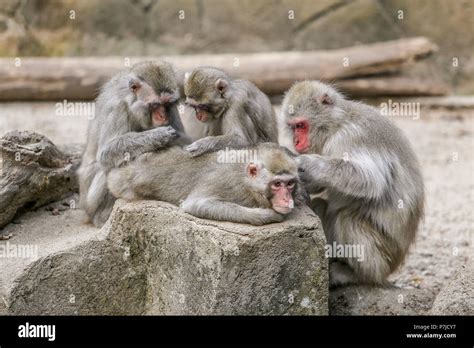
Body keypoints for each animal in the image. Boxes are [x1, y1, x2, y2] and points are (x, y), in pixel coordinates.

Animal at [78, 60, 189, 227]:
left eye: (167, 104)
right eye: (155, 104)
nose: (163, 116)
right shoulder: (117, 108)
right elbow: (105, 154)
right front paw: (157, 136)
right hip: (90, 203)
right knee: (109, 167)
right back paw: (102, 217)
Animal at [106, 142, 308, 226]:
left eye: (290, 184)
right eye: (277, 184)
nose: (286, 198)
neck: (246, 182)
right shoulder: (225, 181)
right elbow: (196, 204)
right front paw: (264, 215)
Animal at [282, 80, 426, 286]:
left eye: (301, 126)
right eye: (293, 127)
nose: (296, 141)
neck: (336, 124)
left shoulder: (350, 137)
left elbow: (369, 180)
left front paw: (308, 164)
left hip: (384, 258)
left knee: (348, 218)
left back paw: (357, 275)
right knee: (322, 205)